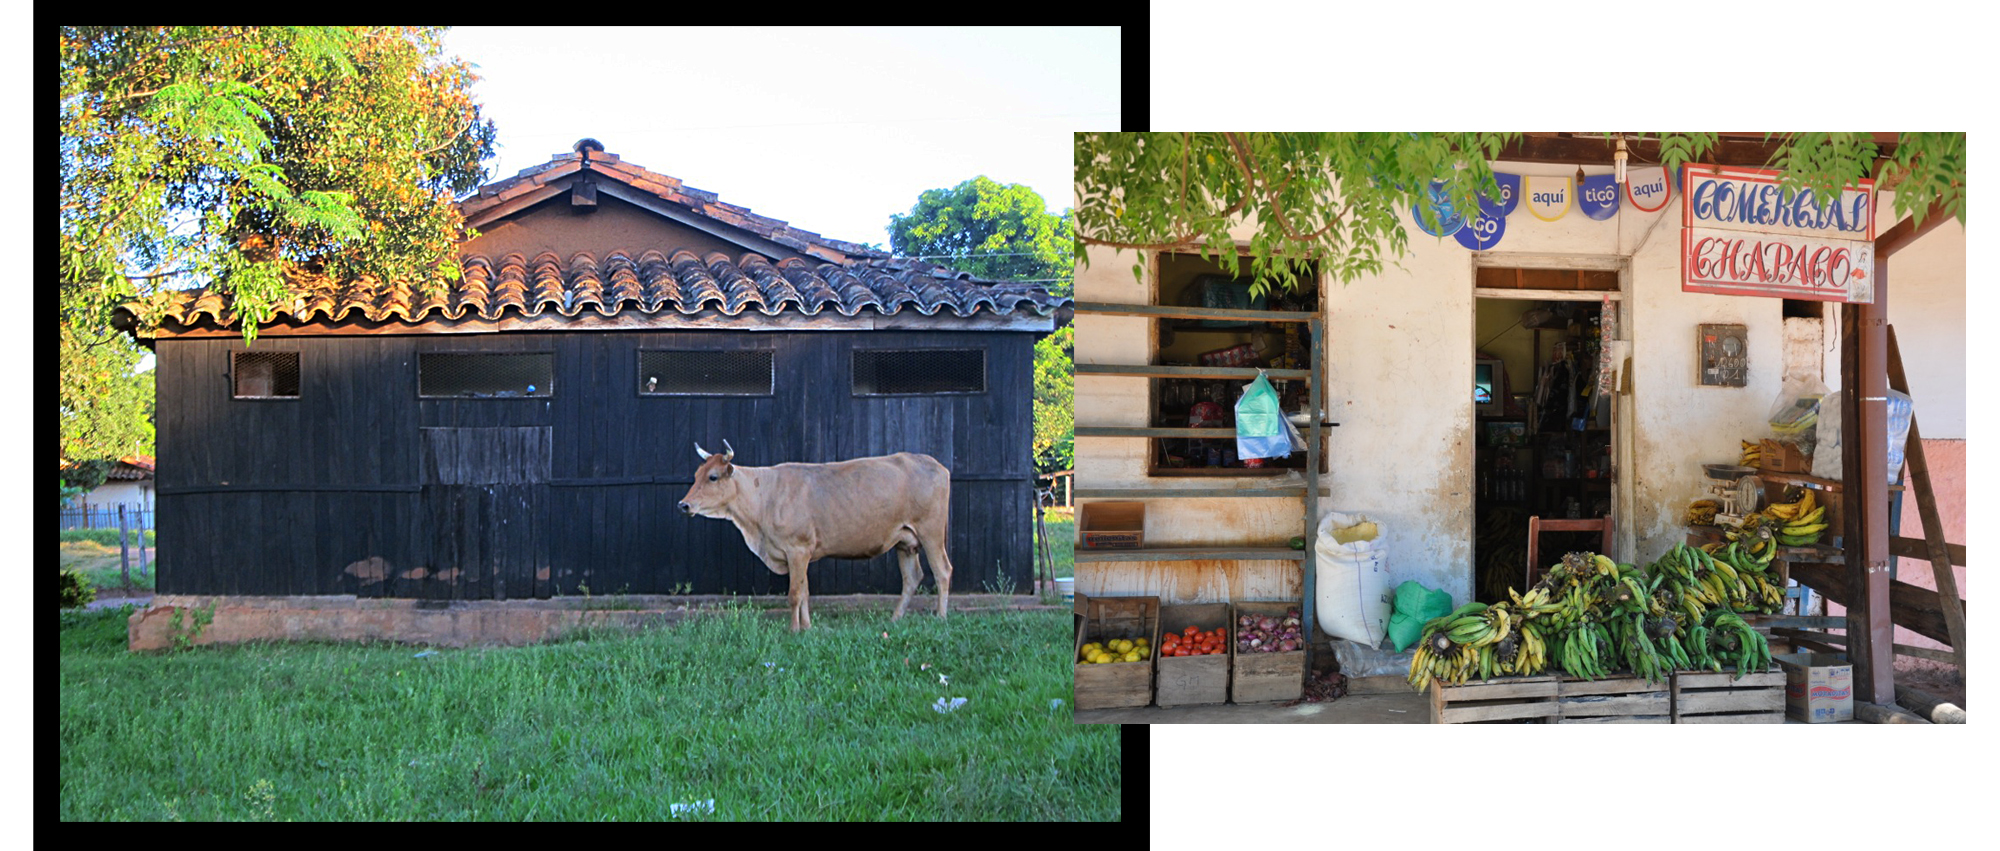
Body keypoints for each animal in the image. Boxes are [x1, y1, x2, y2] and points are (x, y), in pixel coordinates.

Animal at [676, 441, 956, 627]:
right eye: (696, 474)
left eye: (713, 477)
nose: (683, 504)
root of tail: (935, 464)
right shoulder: (802, 552)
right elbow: (805, 592)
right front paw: (807, 629)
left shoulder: (797, 548)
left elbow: (794, 594)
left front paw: (793, 631)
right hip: (904, 541)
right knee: (912, 577)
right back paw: (894, 619)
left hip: (931, 532)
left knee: (942, 571)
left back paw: (941, 618)